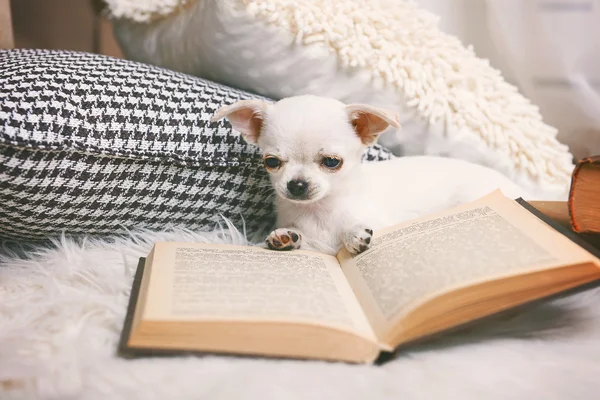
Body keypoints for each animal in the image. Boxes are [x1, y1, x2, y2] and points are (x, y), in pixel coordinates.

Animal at [212, 95, 528, 255]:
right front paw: (284, 237)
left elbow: (354, 230)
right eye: (272, 162)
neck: (320, 211)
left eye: (331, 162)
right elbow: (302, 238)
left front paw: (354, 234)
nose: (297, 184)